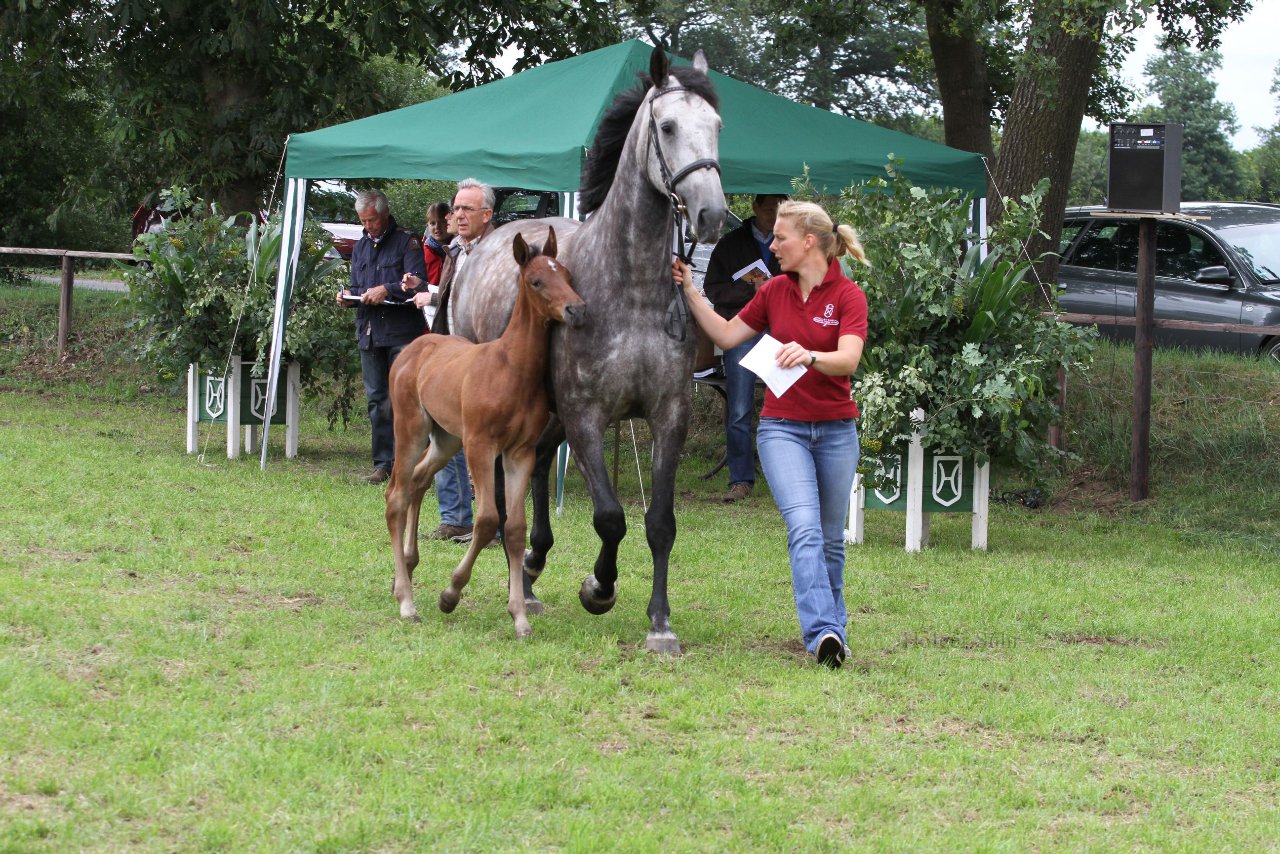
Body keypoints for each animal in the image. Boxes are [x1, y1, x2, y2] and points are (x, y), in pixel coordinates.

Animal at [378, 230, 581, 637]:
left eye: (567, 275)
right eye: (537, 281)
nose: (576, 309)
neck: (513, 369)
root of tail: (413, 347)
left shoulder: (520, 452)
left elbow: (515, 528)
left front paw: (520, 616)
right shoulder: (481, 446)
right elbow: (487, 520)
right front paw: (450, 593)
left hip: (445, 439)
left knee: (418, 482)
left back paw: (406, 568)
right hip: (412, 429)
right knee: (396, 495)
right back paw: (407, 601)